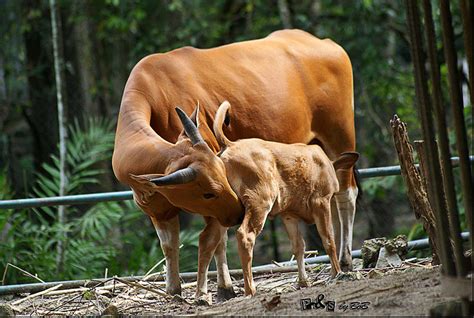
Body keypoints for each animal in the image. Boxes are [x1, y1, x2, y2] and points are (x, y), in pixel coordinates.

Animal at [215, 101, 360, 296]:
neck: (327, 165)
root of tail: (230, 145)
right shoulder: (320, 202)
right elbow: (328, 239)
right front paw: (336, 273)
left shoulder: (289, 215)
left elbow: (299, 247)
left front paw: (303, 281)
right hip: (260, 201)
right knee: (245, 235)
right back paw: (250, 289)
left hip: (222, 206)